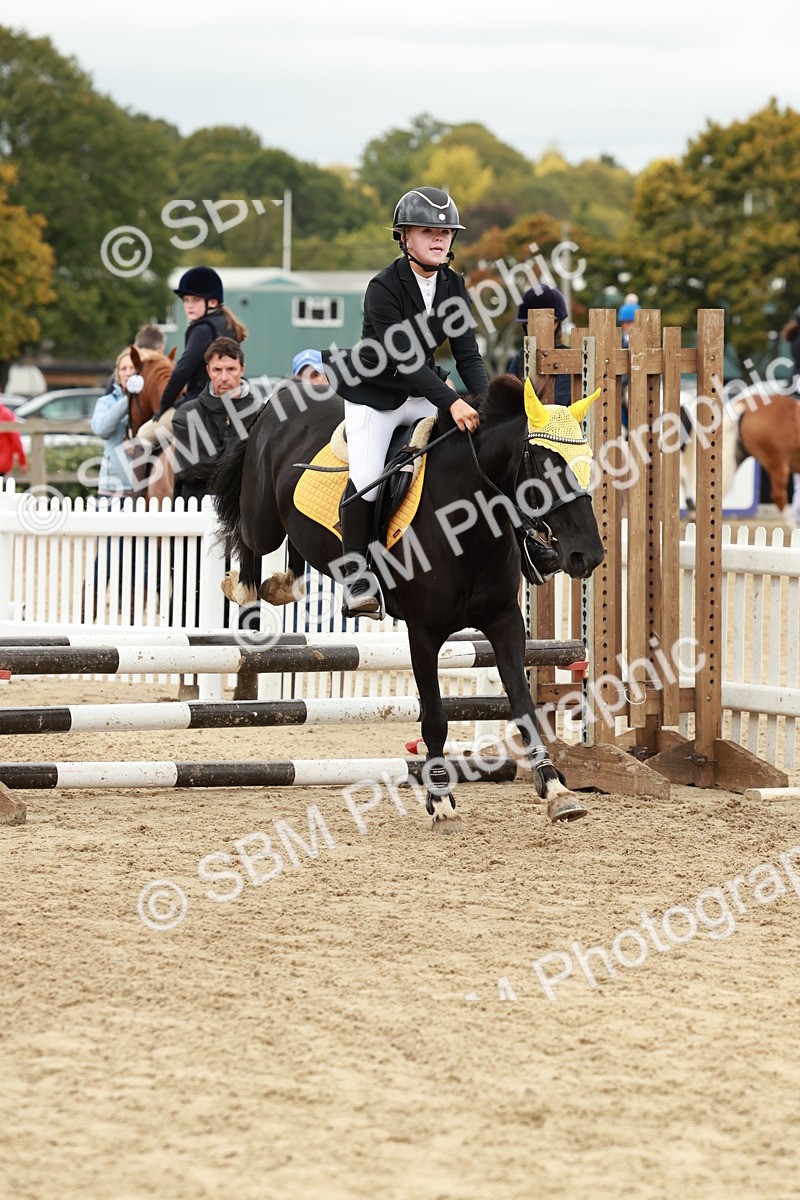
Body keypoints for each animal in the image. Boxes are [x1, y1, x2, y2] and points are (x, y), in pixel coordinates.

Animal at [211, 373, 606, 828]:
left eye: (586, 461)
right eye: (546, 464)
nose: (588, 556)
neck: (467, 521)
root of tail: (280, 397)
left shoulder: (504, 621)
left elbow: (523, 705)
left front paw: (555, 788)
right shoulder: (424, 633)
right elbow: (434, 718)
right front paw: (442, 801)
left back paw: (283, 583)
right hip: (264, 520)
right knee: (251, 538)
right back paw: (245, 586)